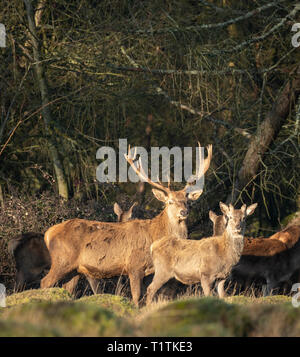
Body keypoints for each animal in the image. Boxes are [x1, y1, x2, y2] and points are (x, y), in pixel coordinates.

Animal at [40, 143, 213, 304]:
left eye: (187, 202)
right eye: (170, 202)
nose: (184, 212)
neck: (155, 235)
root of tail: (48, 234)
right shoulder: (133, 266)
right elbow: (136, 297)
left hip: (74, 269)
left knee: (67, 289)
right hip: (62, 260)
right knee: (44, 282)